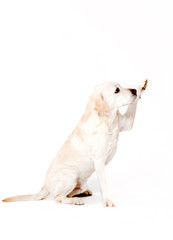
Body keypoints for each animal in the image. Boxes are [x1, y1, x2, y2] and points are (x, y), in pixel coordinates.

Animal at [2, 79, 147, 206]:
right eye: (117, 90)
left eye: (121, 86)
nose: (133, 91)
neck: (107, 119)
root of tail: (44, 185)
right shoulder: (99, 161)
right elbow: (104, 184)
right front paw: (107, 200)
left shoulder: (126, 123)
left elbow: (133, 105)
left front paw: (141, 86)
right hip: (70, 175)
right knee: (58, 197)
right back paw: (75, 200)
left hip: (80, 181)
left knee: (70, 192)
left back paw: (83, 193)